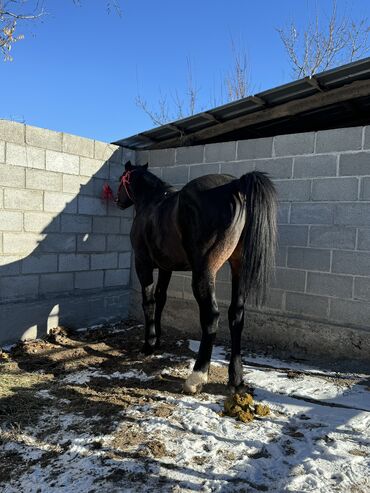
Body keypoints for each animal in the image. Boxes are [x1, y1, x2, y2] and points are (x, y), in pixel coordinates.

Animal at [115, 161, 278, 392]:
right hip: (239, 268)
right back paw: (236, 378)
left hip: (204, 272)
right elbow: (161, 299)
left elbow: (149, 302)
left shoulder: (143, 264)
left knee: (211, 316)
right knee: (236, 315)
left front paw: (148, 345)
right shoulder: (166, 268)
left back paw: (197, 376)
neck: (151, 202)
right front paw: (157, 341)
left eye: (122, 180)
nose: (118, 201)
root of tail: (235, 185)